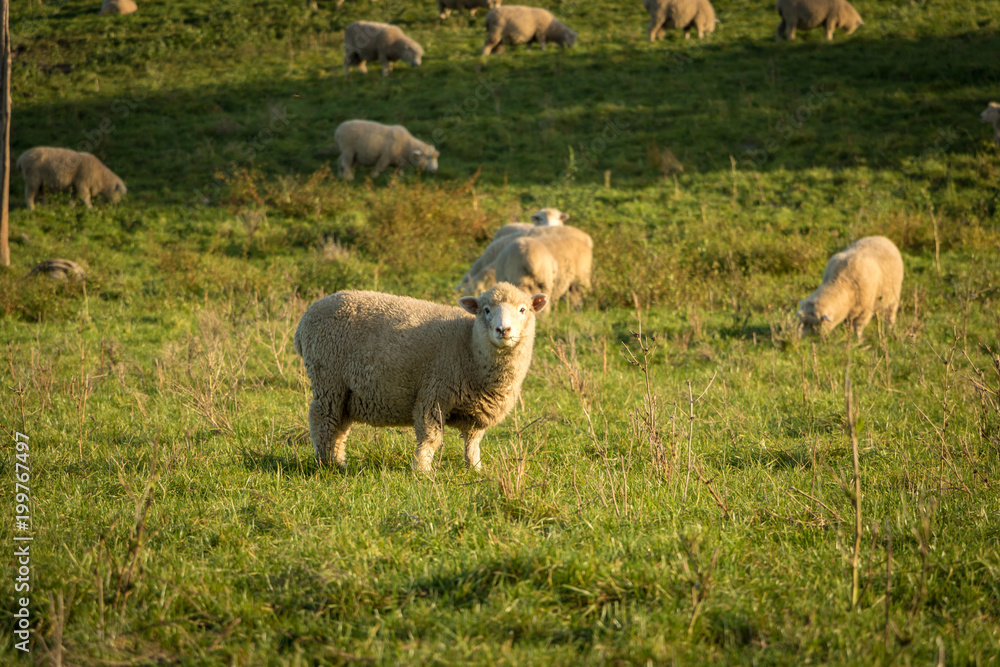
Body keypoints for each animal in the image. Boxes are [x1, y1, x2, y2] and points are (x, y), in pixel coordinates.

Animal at [294, 283, 549, 472]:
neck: (470, 346)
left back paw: (338, 462)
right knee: (322, 420)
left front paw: (475, 468)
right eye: (485, 310)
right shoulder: (434, 393)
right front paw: (422, 470)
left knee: (339, 427)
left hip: (346, 391)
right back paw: (325, 464)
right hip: (328, 378)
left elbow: (473, 442)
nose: (503, 330)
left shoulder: (476, 409)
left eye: (523, 310)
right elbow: (430, 437)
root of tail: (305, 318)